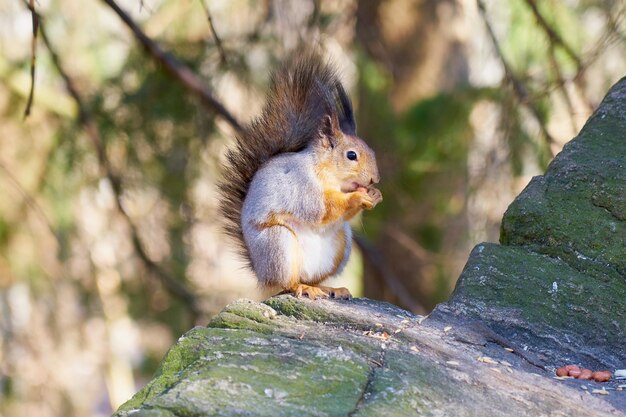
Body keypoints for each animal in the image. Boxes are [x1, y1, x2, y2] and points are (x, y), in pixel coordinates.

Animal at [217, 50, 380, 300]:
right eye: (351, 155)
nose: (374, 179)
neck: (329, 174)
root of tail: (261, 272)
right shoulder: (302, 186)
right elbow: (322, 208)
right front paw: (358, 197)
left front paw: (375, 194)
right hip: (278, 243)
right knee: (287, 282)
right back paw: (302, 288)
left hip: (342, 243)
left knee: (312, 277)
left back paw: (329, 288)